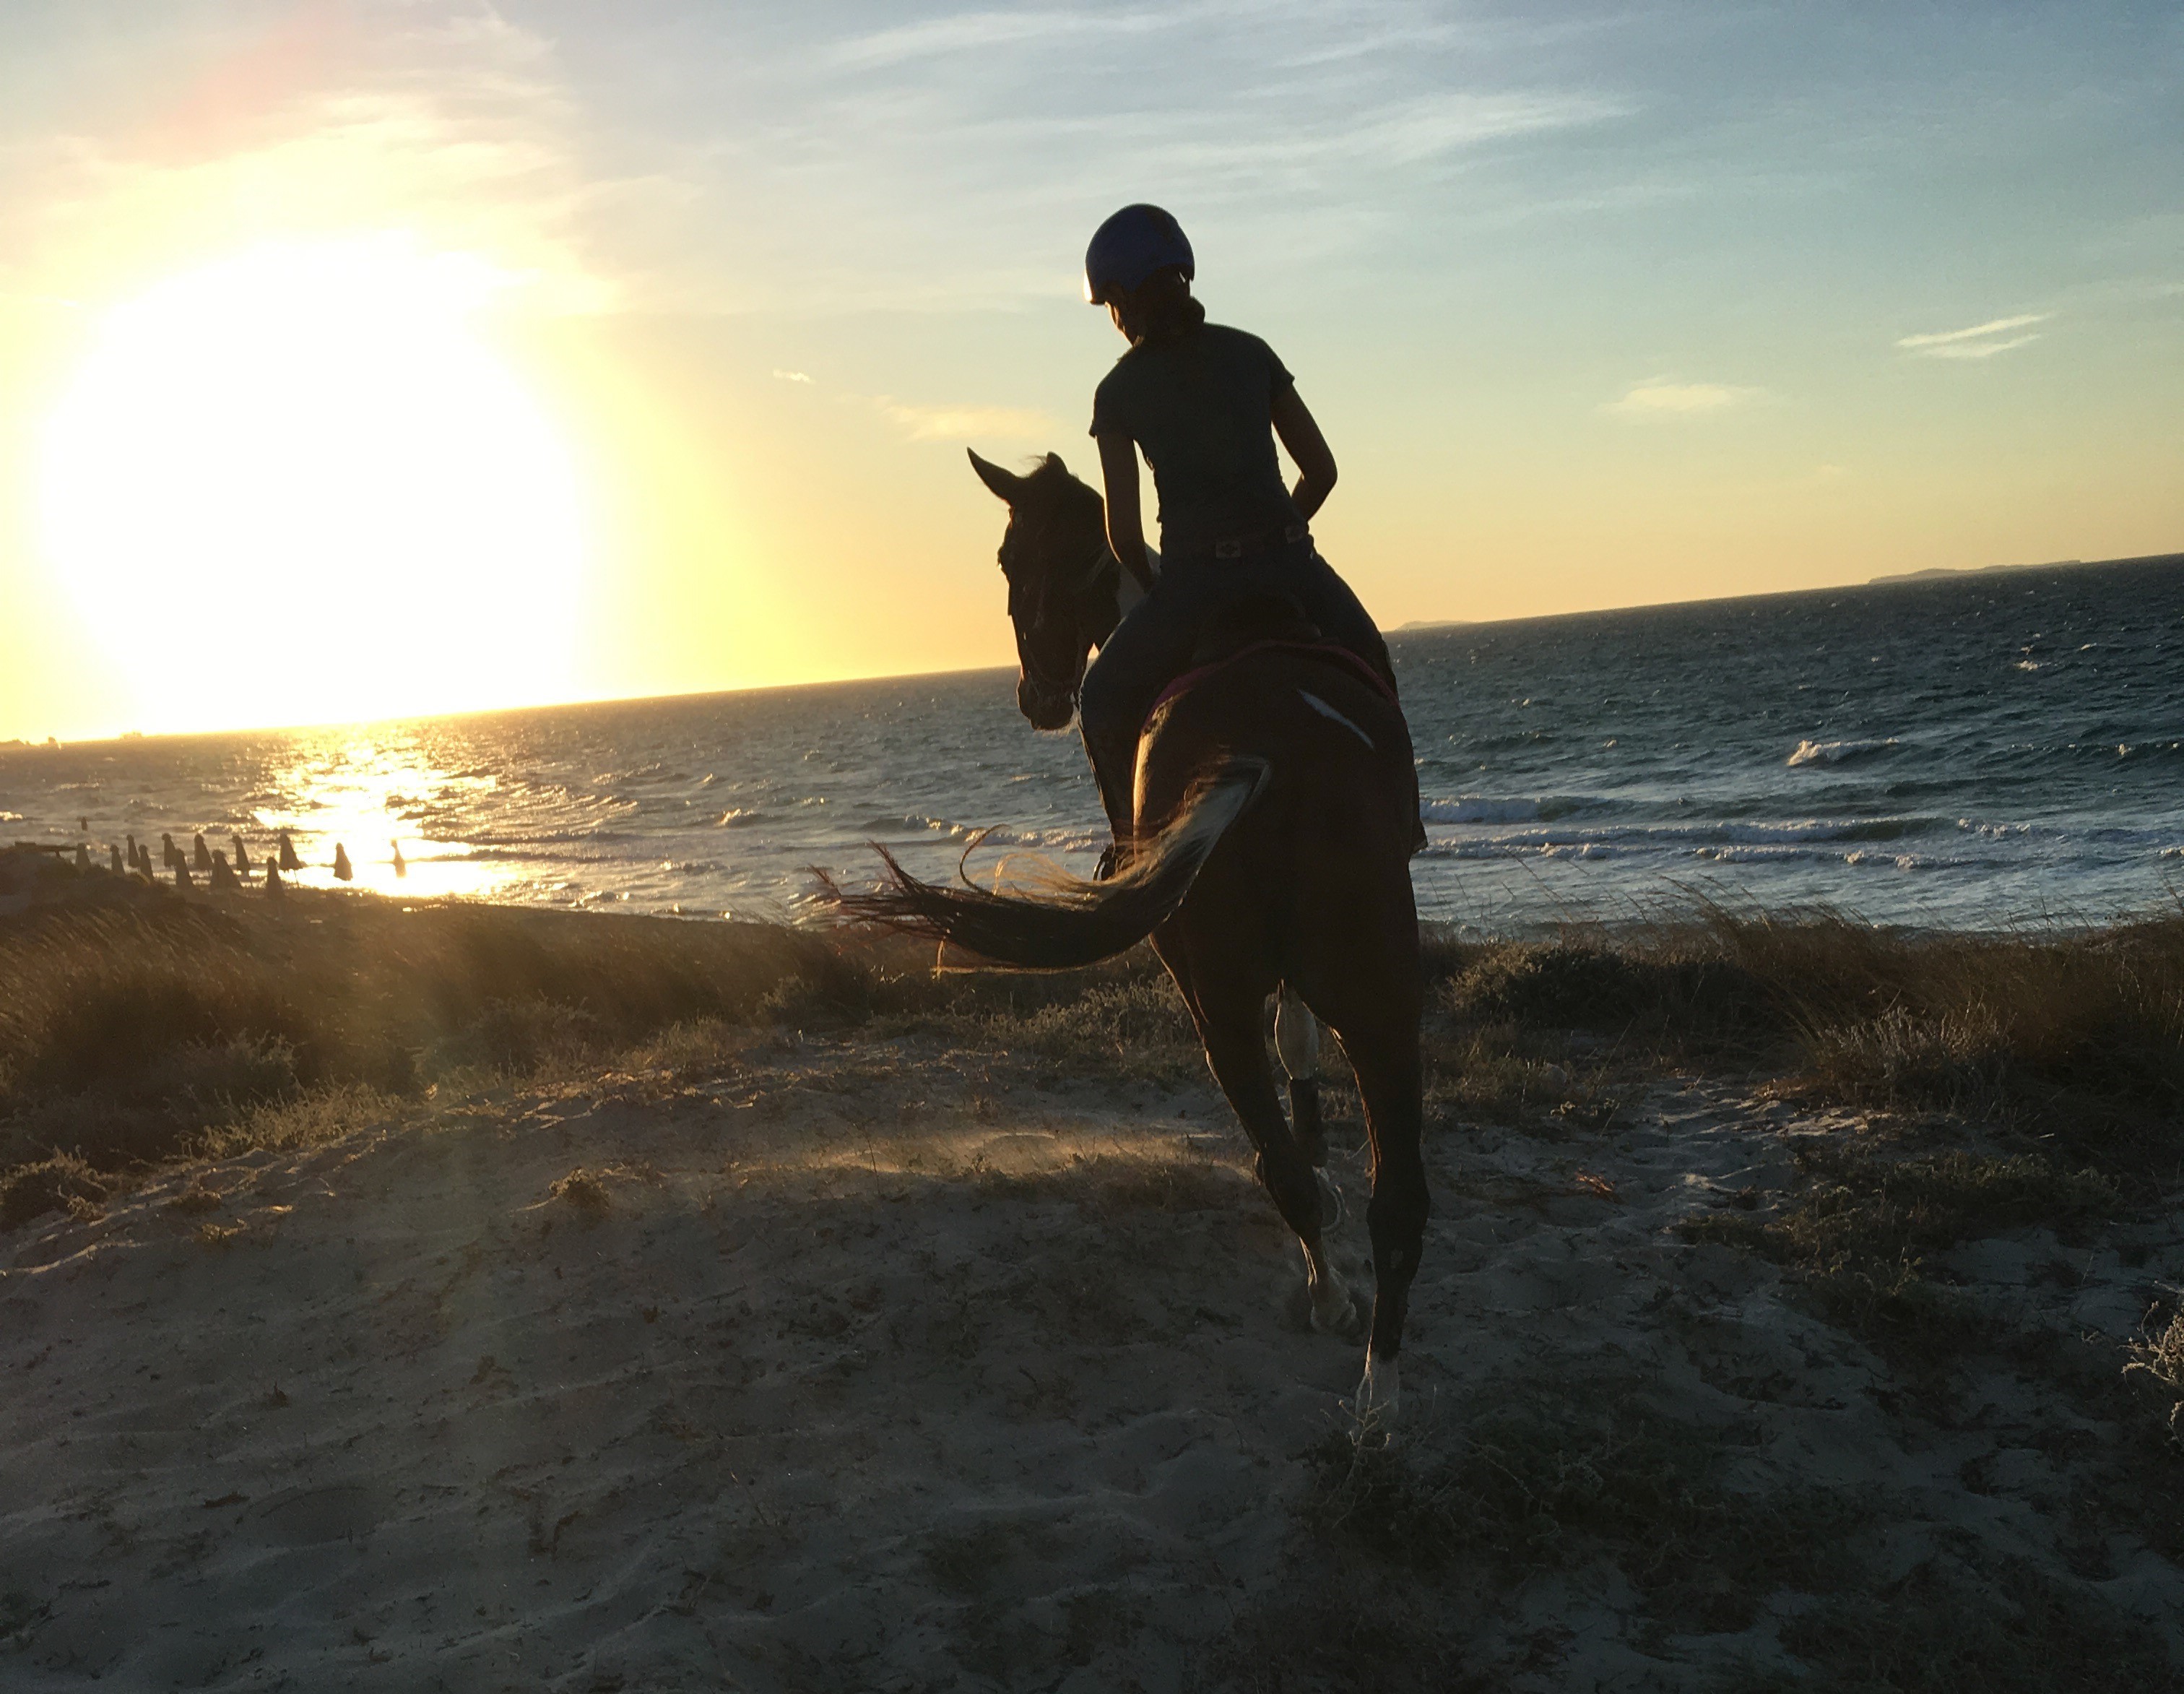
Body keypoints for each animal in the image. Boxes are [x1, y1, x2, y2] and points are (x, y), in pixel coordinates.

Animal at [831, 448, 1429, 1419]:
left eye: (1009, 558)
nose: (1037, 697)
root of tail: (1266, 752)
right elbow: (1299, 1037)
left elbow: (1294, 1045)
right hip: (1363, 994)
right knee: (1391, 1196)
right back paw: (1377, 1389)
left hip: (1226, 983)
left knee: (1303, 1171)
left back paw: (1335, 1309)